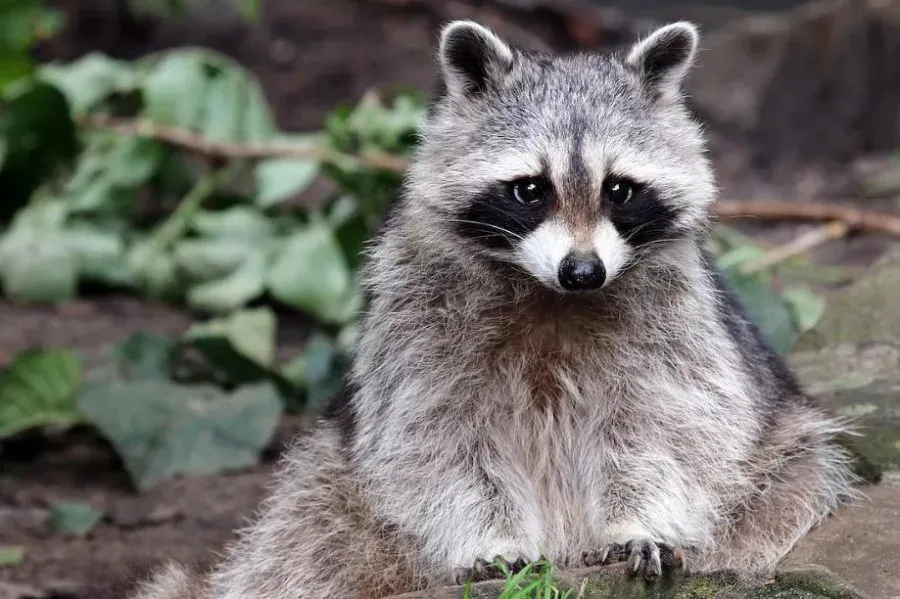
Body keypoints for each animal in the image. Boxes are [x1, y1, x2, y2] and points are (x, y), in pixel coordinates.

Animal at [132, 19, 858, 599]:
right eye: (529, 190)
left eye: (619, 189)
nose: (583, 271)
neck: (551, 294)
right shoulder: (416, 324)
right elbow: (435, 444)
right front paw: (490, 539)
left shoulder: (679, 326)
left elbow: (669, 428)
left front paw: (640, 520)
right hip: (330, 485)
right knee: (306, 541)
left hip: (788, 452)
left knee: (787, 485)